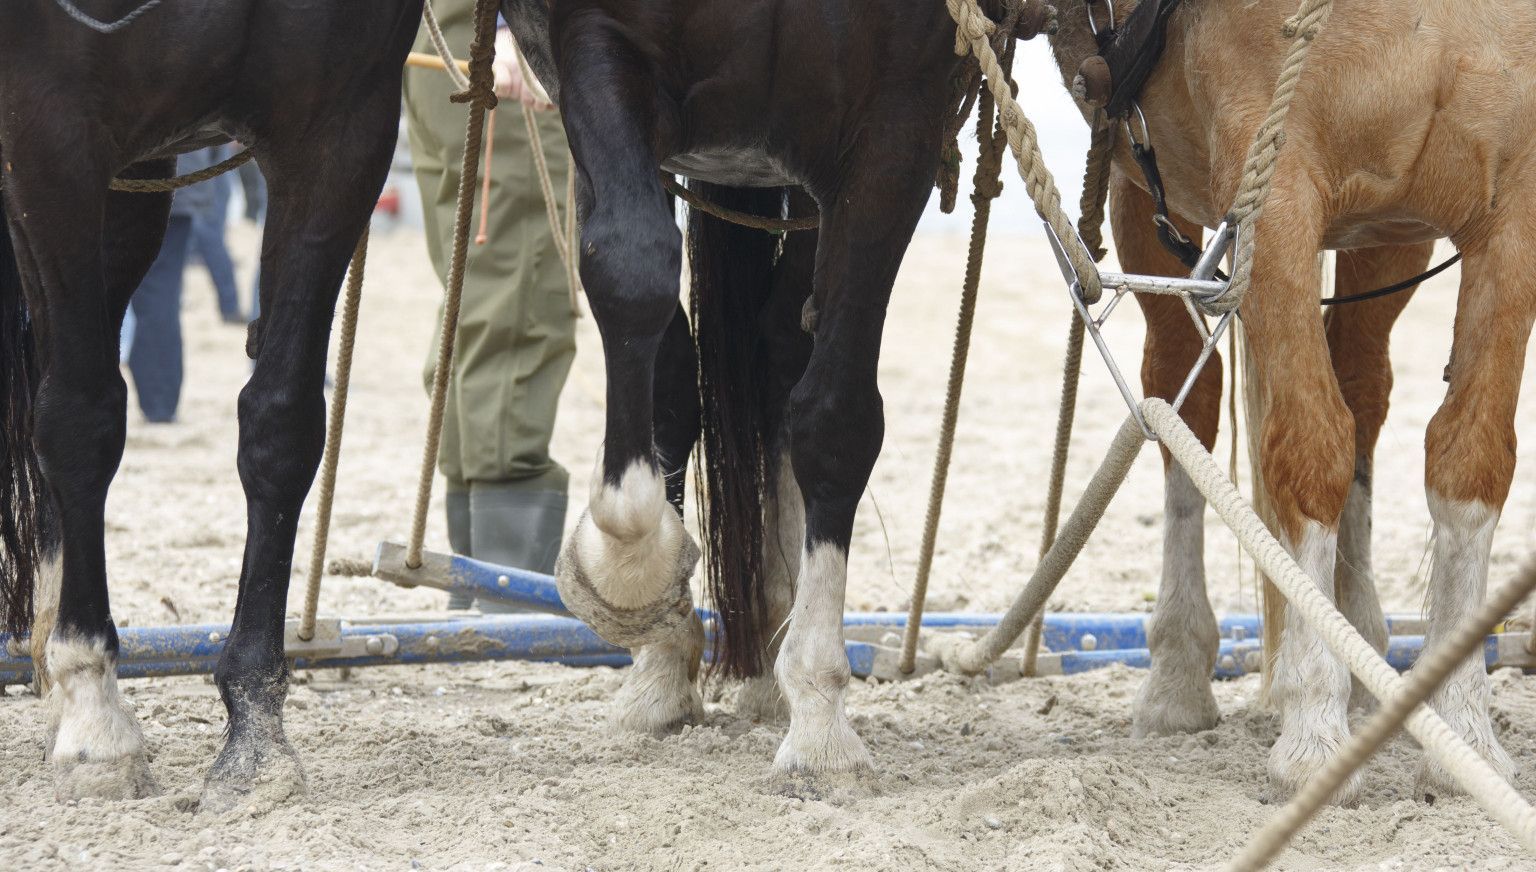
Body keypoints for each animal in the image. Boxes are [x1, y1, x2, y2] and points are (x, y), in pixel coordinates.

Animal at [1, 0, 427, 804]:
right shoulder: (46, 122)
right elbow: (78, 418)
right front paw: (96, 715)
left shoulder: (340, 122)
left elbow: (281, 422)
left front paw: (255, 735)